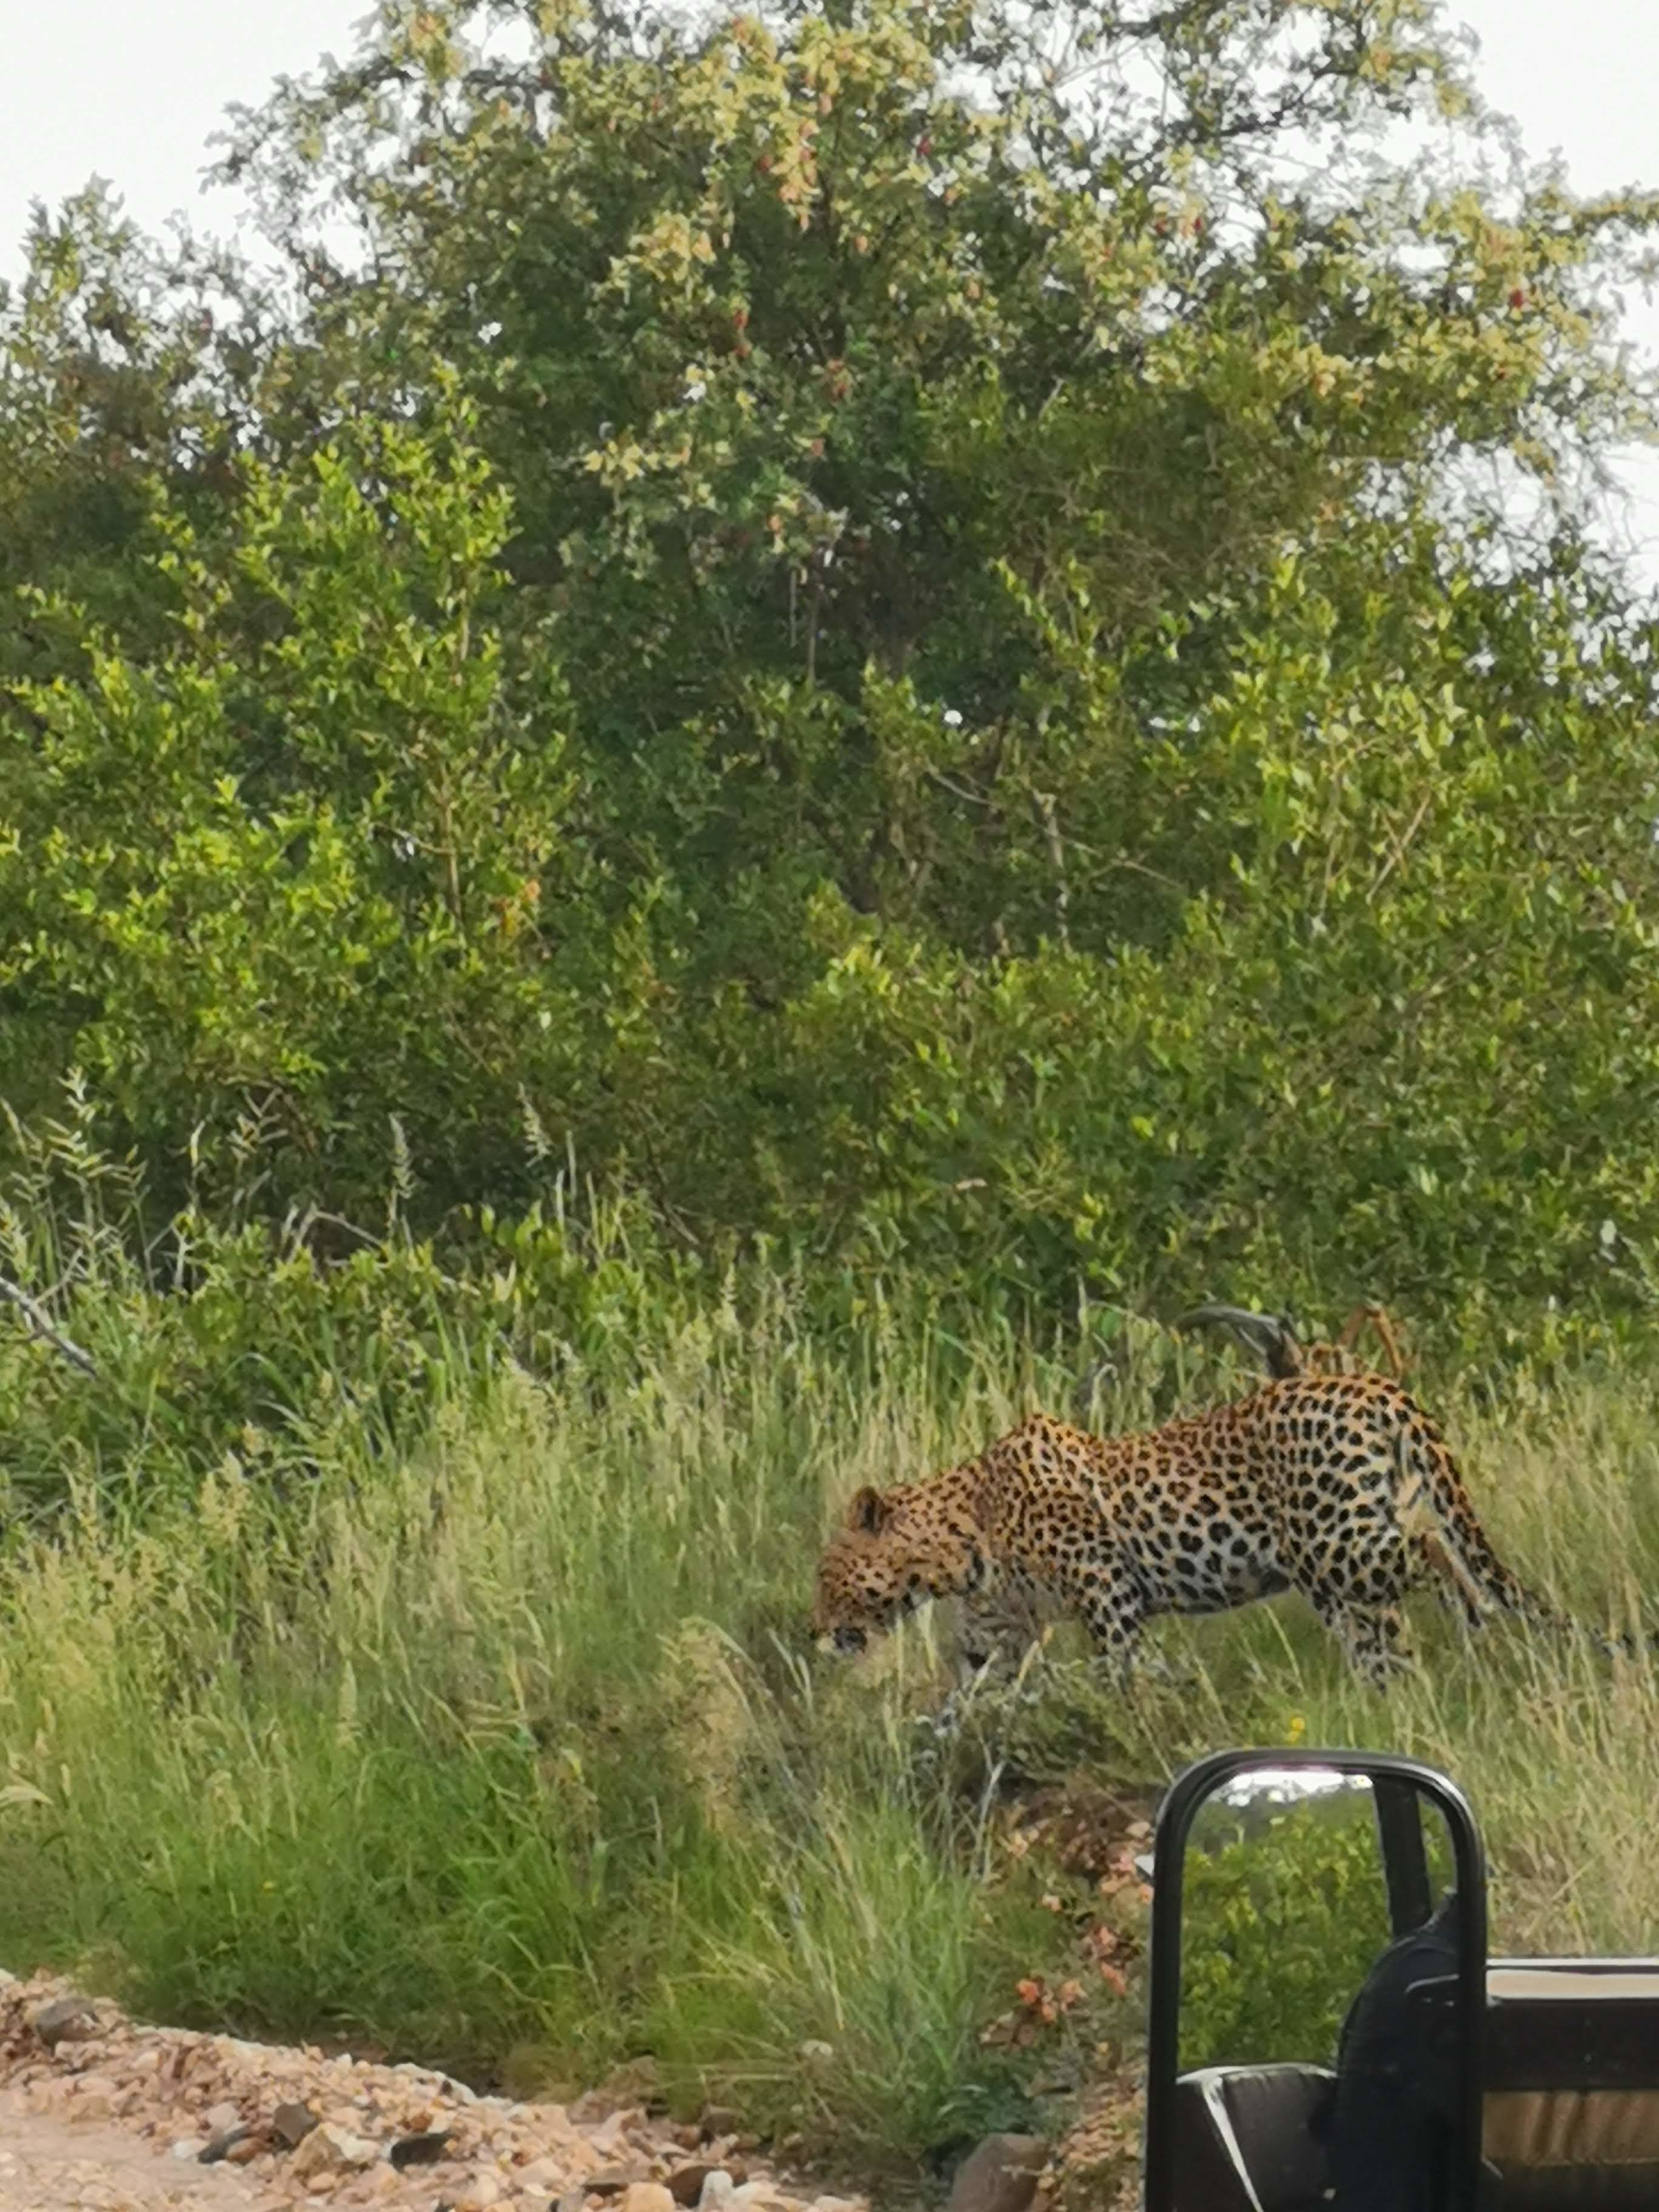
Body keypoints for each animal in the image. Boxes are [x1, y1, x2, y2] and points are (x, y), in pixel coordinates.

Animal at [810, 1370, 1641, 1687]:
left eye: (825, 1575)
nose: (814, 1631)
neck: (958, 1544)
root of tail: (1376, 1386)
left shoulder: (1106, 1586)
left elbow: (1120, 1663)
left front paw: (1129, 1701)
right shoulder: (992, 1635)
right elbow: (955, 1707)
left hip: (1334, 1546)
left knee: (1435, 1554)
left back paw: (1468, 1613)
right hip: (1341, 1566)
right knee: (1386, 1638)